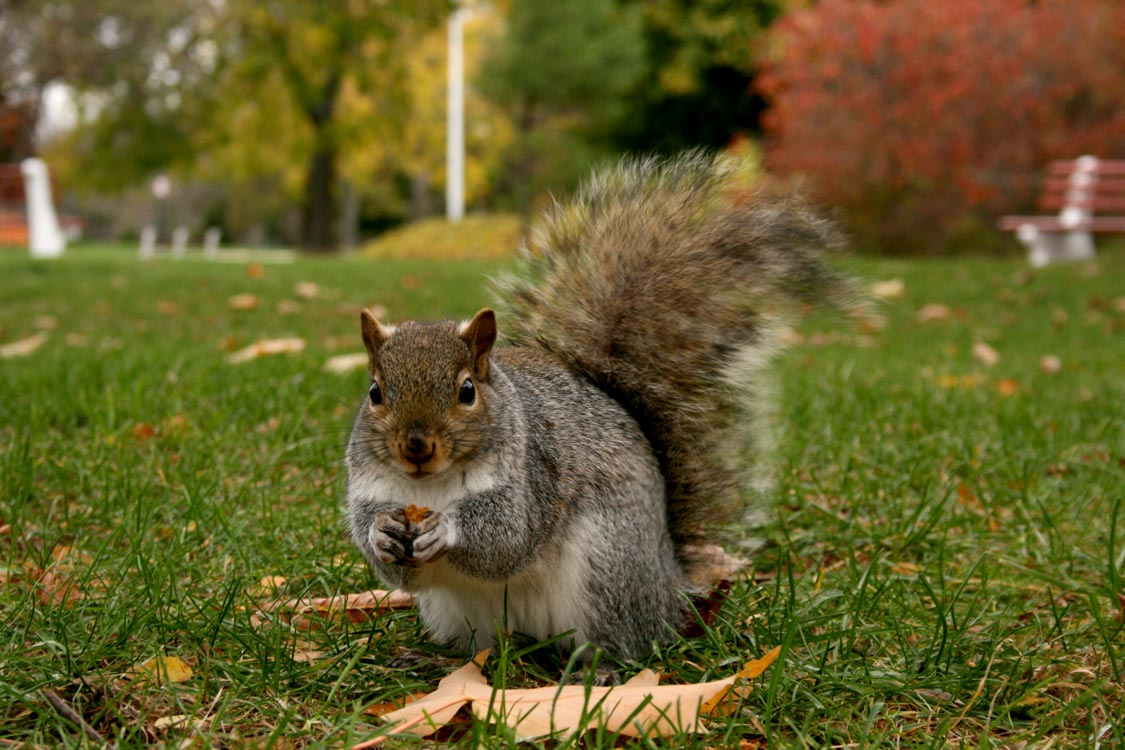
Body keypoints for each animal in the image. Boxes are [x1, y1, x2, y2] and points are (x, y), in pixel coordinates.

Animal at [345, 152, 850, 662]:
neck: (429, 488)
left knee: (622, 641)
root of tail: (669, 584)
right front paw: (381, 534)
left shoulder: (533, 479)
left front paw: (446, 529)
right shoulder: (372, 490)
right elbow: (395, 567)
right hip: (458, 612)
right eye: (375, 393)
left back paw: (602, 668)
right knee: (479, 647)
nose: (415, 447)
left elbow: (508, 539)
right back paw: (441, 657)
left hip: (606, 571)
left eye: (467, 391)